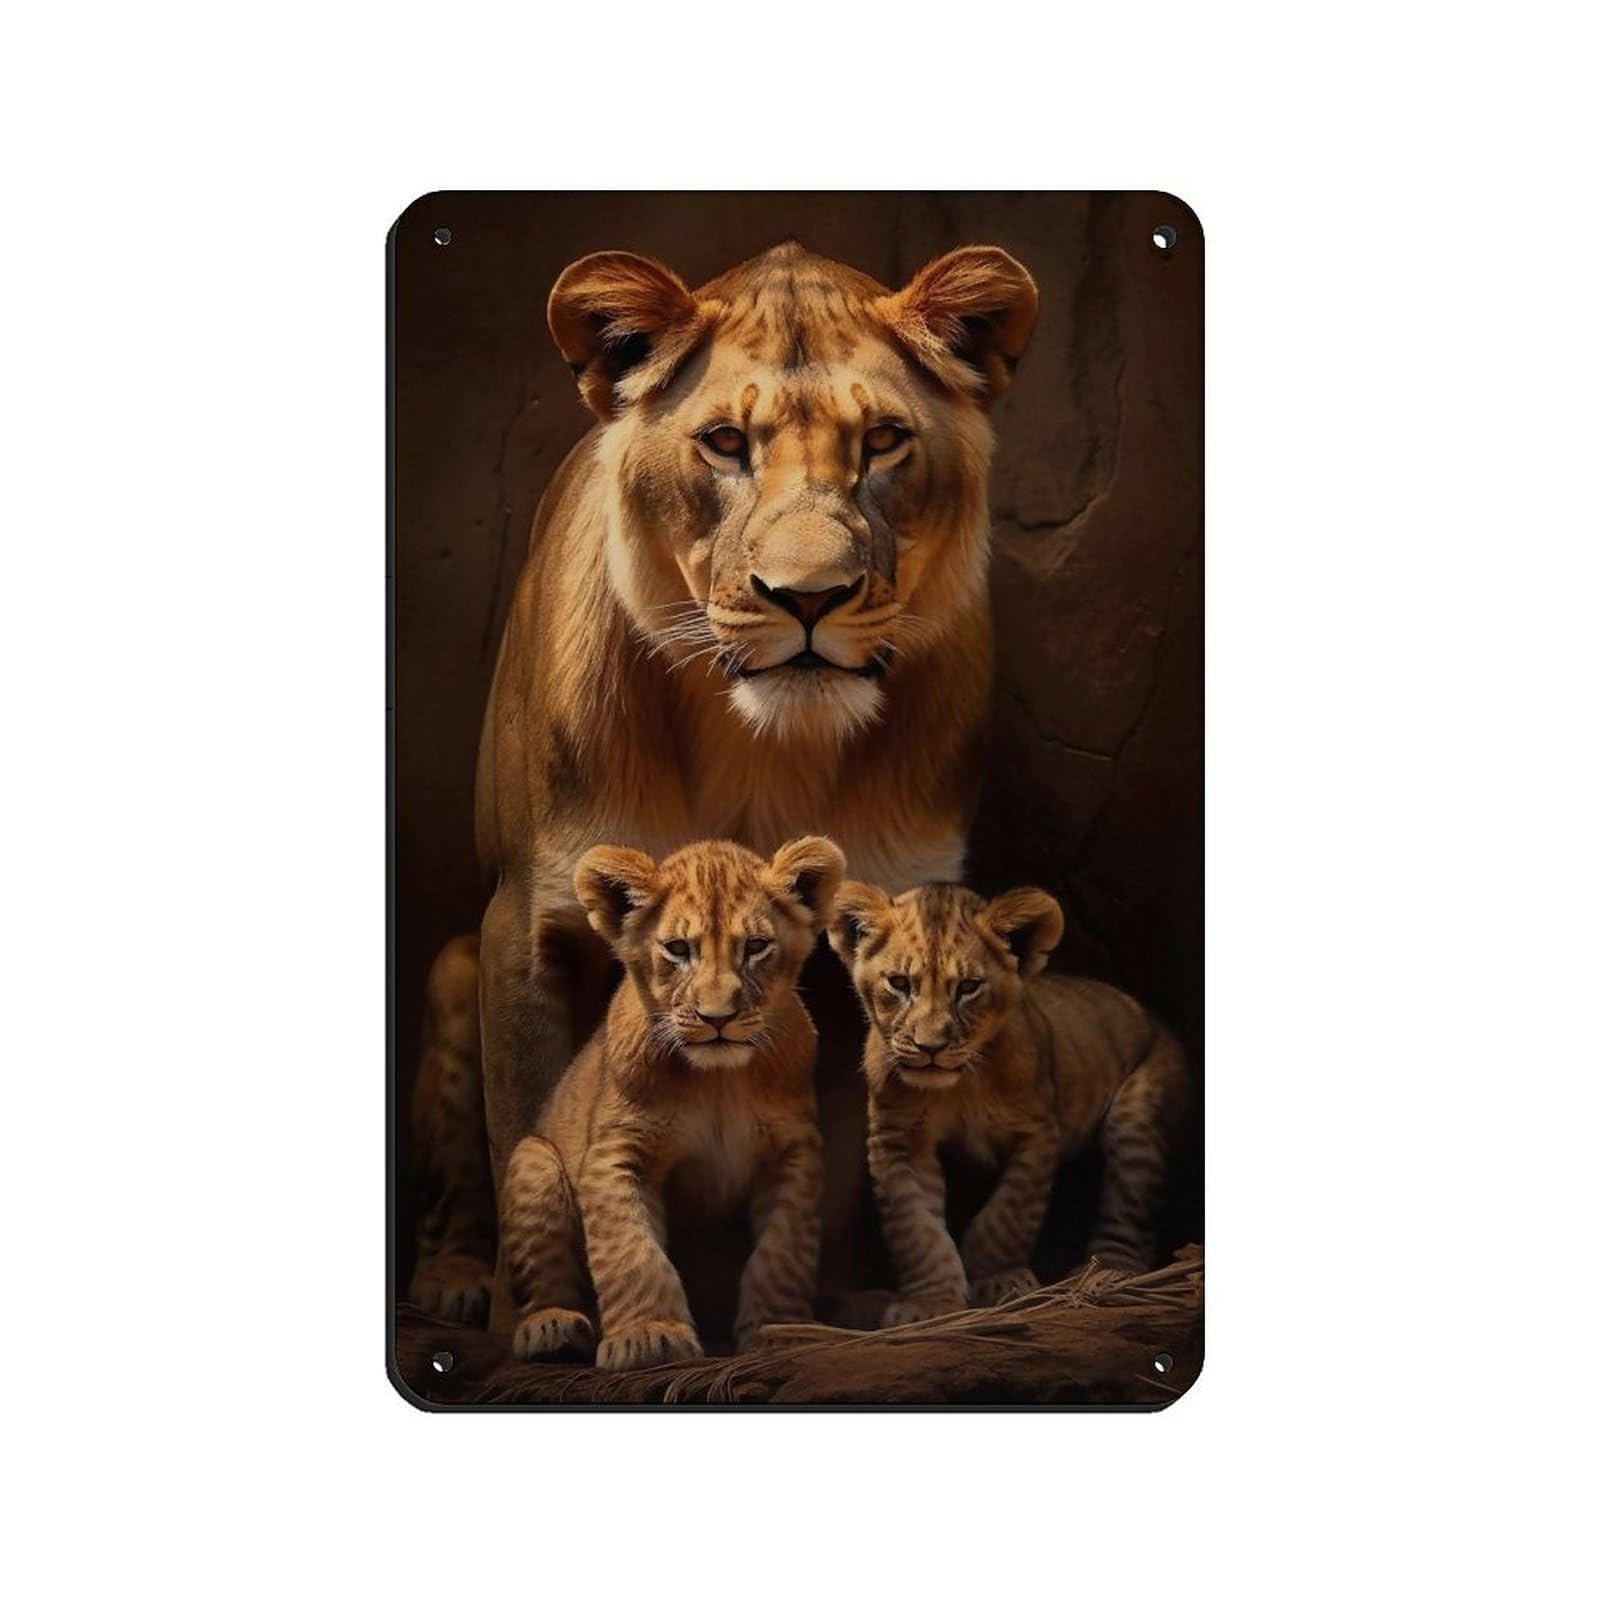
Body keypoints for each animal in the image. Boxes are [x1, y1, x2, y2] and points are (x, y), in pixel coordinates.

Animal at [500, 835, 842, 1371]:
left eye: (756, 947)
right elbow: (631, 1251)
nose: (717, 1017)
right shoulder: (617, 1155)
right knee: (546, 1272)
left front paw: (781, 1330)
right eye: (679, 949)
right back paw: (552, 1328)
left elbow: (783, 1252)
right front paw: (649, 1334)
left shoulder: (794, 1153)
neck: (719, 1081)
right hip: (533, 1161)